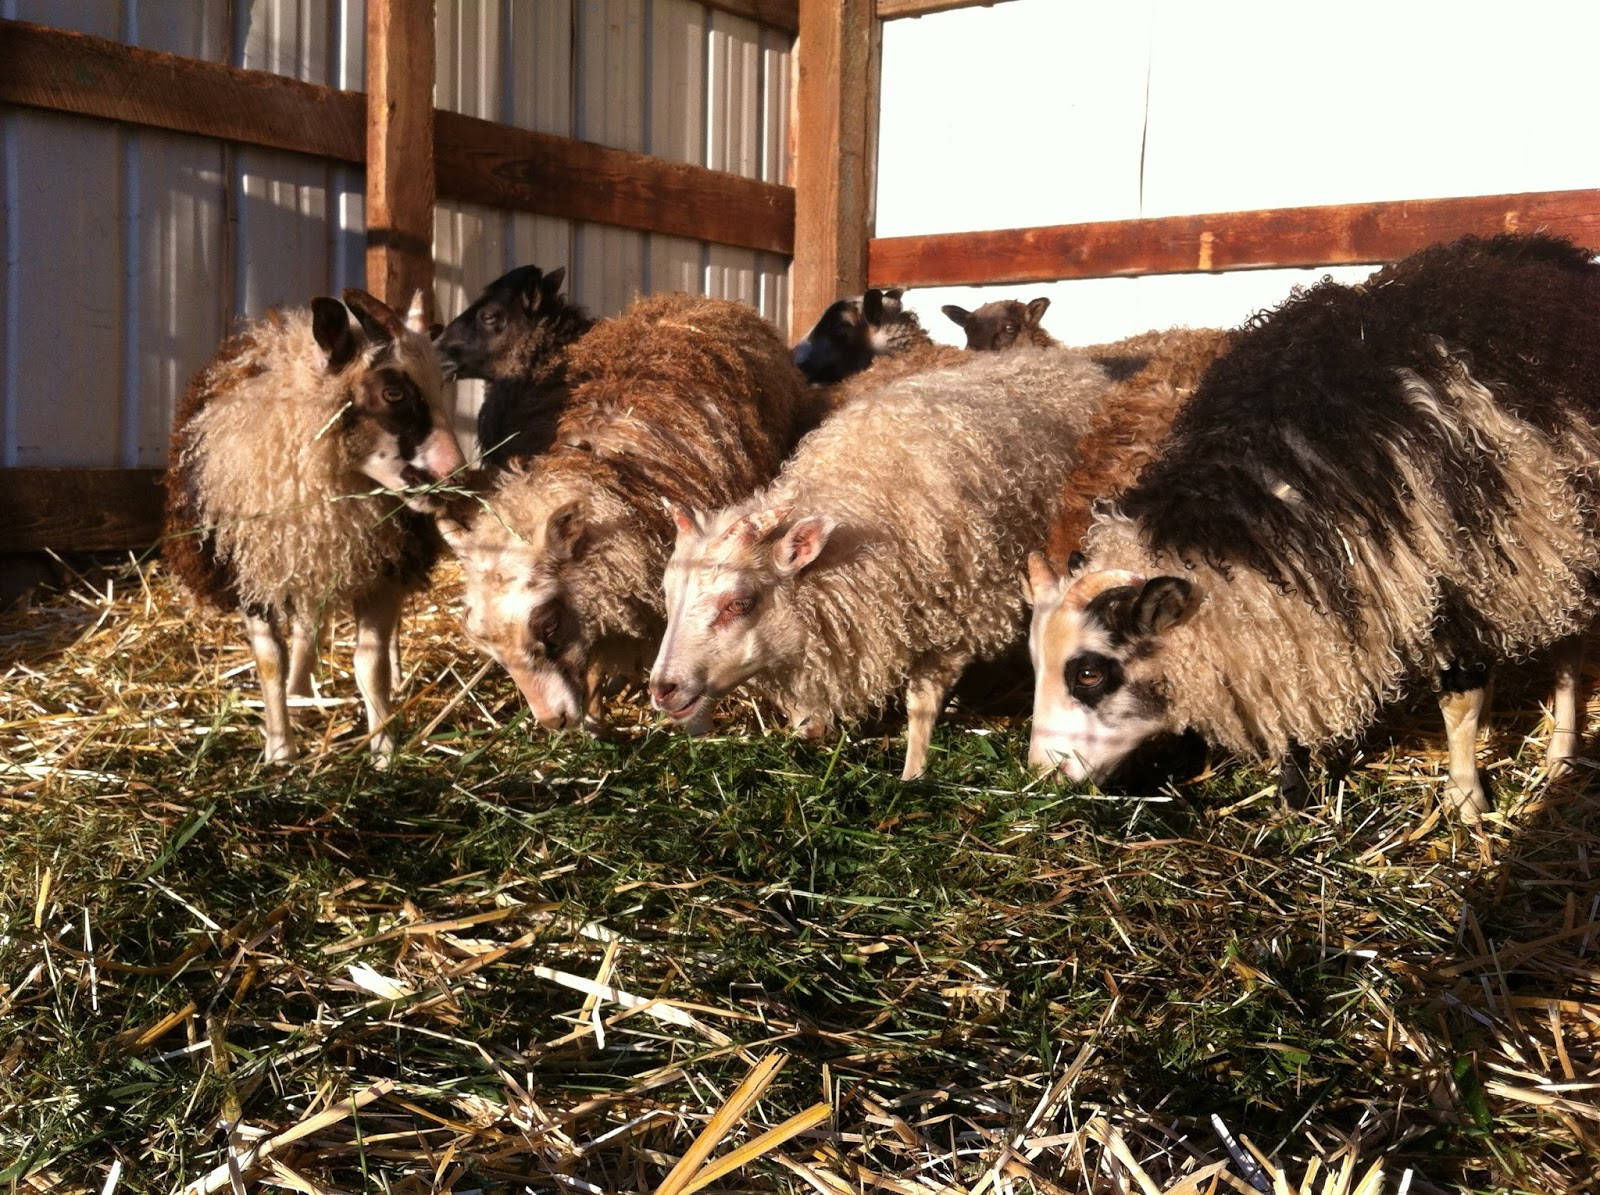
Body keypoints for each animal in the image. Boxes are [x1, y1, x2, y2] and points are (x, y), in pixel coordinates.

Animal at [1024, 231, 1600, 825]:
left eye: (1089, 673)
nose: (1042, 778)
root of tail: (1548, 248)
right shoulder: (1287, 613)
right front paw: (1293, 796)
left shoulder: (1474, 576)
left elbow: (1460, 704)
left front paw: (1465, 801)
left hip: (1559, 531)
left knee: (1570, 651)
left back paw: (1561, 755)